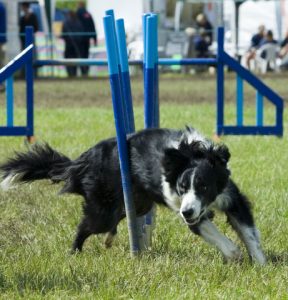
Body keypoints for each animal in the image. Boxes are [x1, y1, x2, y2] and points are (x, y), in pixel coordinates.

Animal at [0, 127, 266, 264]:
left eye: (204, 186)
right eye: (182, 187)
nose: (187, 212)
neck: (190, 153)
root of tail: (82, 161)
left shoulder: (230, 196)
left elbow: (249, 232)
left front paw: (261, 264)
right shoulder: (186, 209)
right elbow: (214, 233)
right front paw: (234, 253)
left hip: (137, 203)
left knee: (120, 217)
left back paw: (109, 240)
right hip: (104, 208)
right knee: (85, 227)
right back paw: (74, 253)